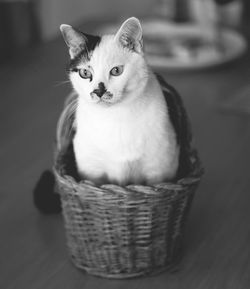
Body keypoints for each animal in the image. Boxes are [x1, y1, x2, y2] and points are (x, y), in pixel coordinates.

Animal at [60, 17, 180, 184]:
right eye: (85, 73)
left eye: (116, 71)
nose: (99, 91)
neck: (115, 116)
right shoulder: (90, 169)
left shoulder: (159, 167)